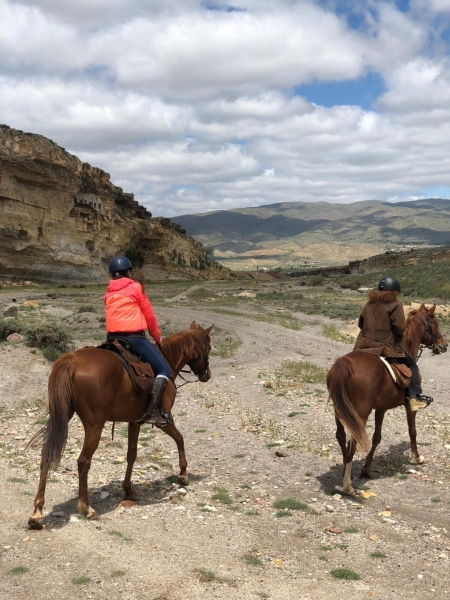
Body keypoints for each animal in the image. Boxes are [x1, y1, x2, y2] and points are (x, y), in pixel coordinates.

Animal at [28, 322, 214, 528]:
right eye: (209, 347)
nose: (207, 375)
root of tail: (73, 359)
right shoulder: (164, 420)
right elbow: (180, 439)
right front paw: (183, 474)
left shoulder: (135, 422)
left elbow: (131, 455)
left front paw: (129, 490)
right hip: (95, 425)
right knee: (83, 461)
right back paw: (86, 507)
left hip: (61, 416)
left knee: (46, 454)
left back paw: (37, 513)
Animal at [326, 304, 446, 496]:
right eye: (434, 323)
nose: (444, 345)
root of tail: (345, 364)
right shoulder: (409, 407)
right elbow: (412, 432)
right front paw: (417, 457)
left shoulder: (380, 409)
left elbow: (377, 437)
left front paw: (366, 468)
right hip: (360, 412)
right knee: (354, 439)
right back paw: (347, 486)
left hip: (340, 410)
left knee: (341, 436)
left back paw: (345, 471)